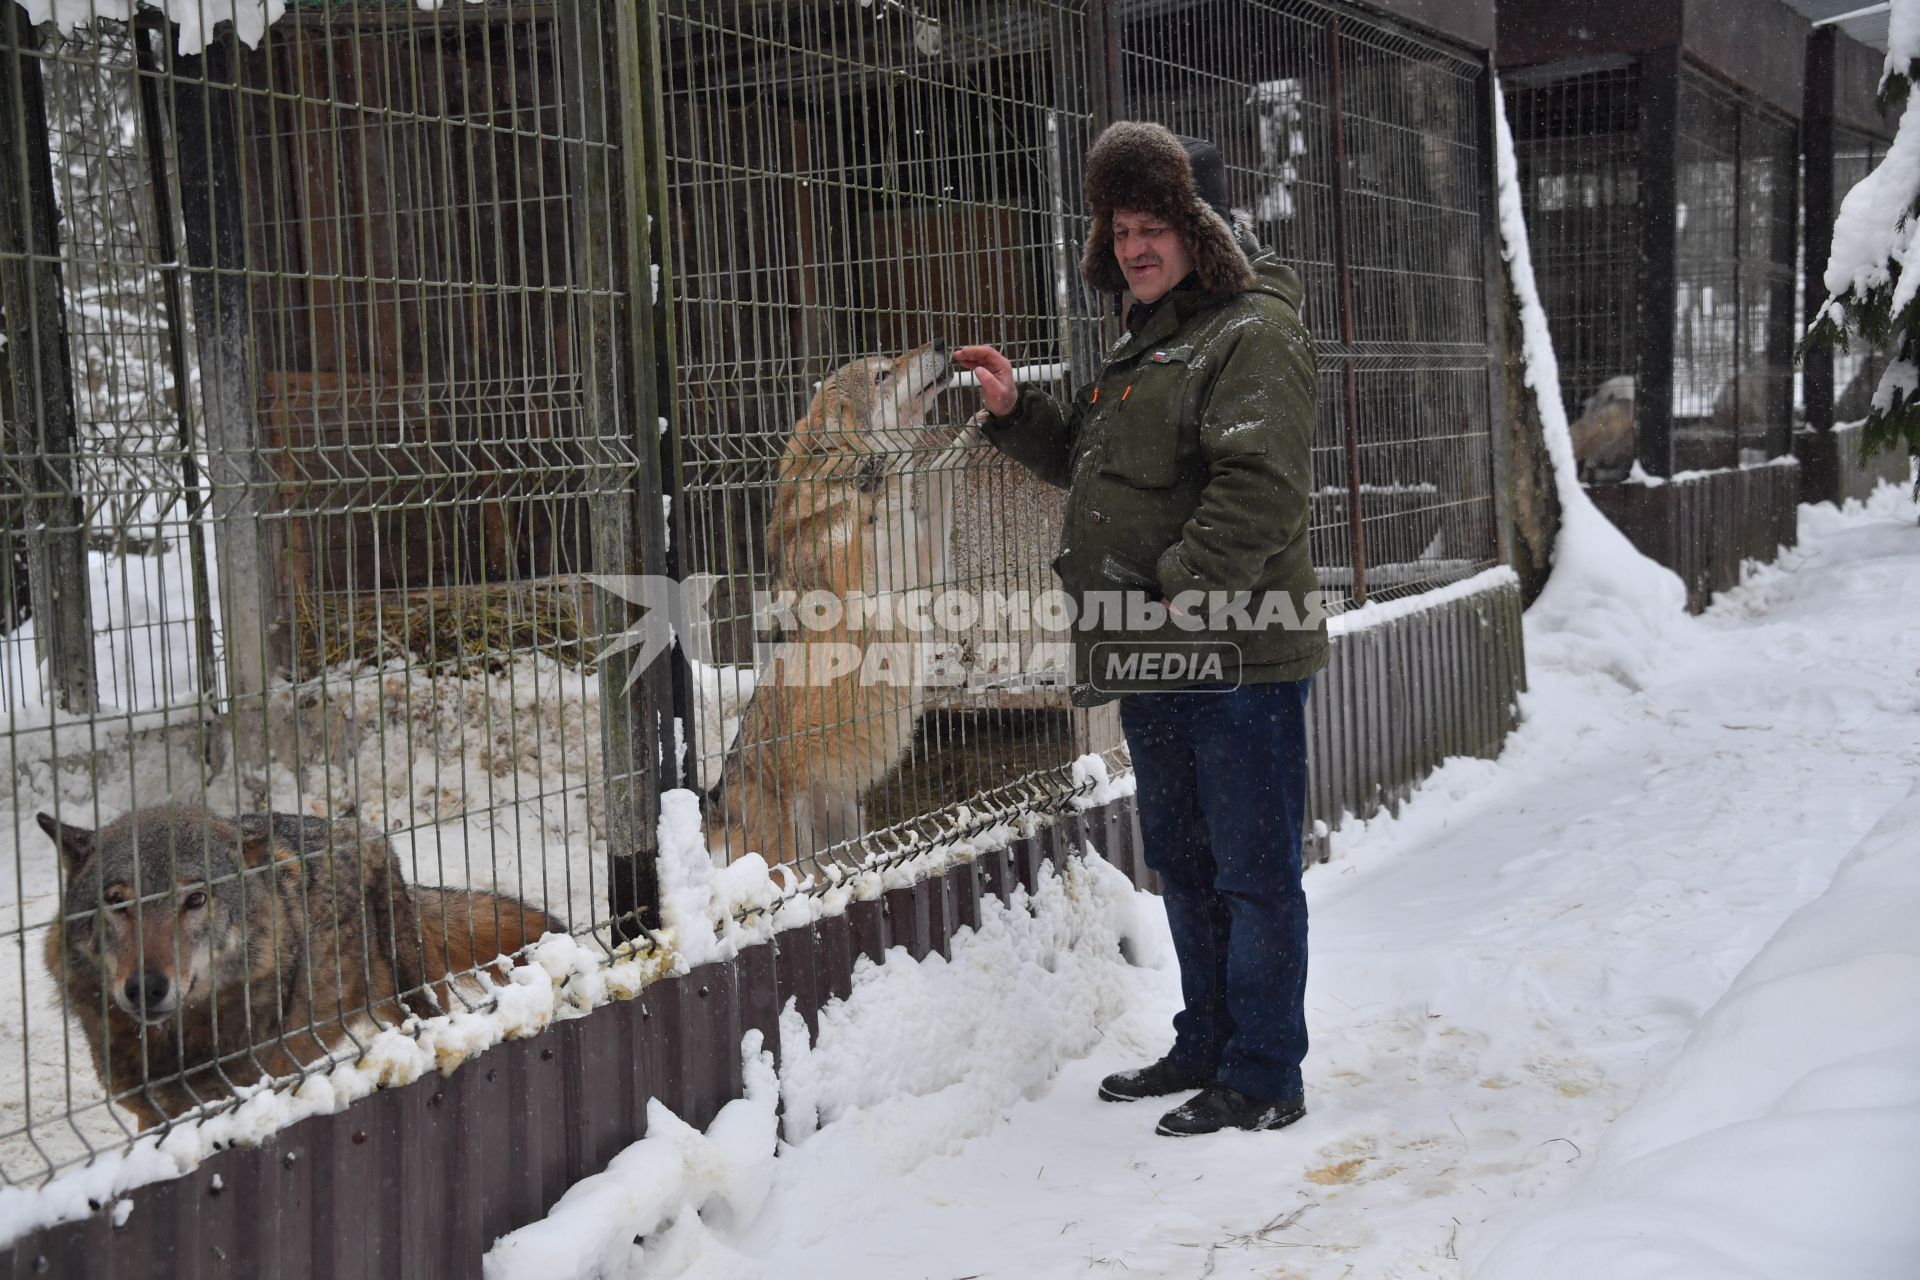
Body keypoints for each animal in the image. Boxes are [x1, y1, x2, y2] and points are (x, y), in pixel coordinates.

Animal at [37, 805, 556, 1128]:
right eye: (116, 902)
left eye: (196, 899)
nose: (146, 987)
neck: (176, 1048)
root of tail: (365, 832)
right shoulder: (151, 1115)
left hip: (412, 1004)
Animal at [710, 337, 975, 871]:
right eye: (881, 374)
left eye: (891, 361)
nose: (940, 343)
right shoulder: (861, 583)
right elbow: (863, 516)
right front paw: (868, 485)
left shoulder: (922, 572)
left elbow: (942, 470)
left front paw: (977, 428)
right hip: (786, 849)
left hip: (849, 828)